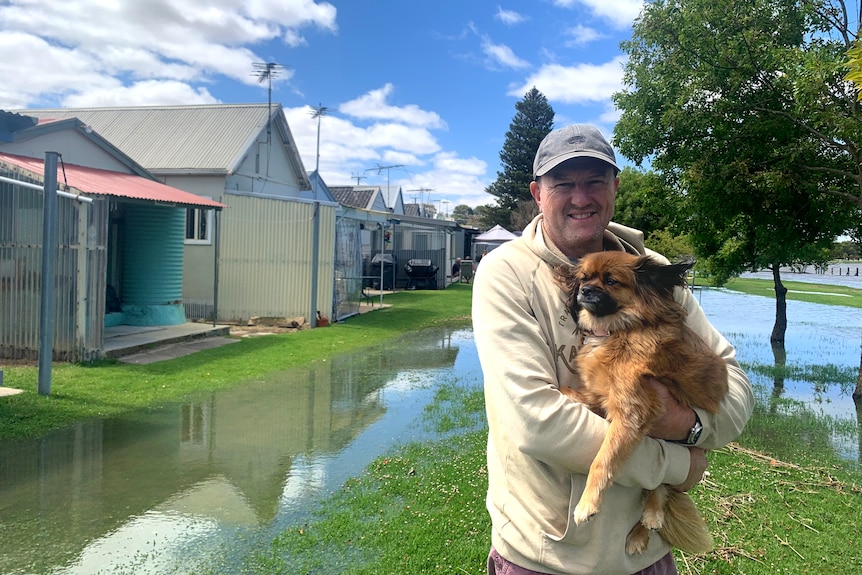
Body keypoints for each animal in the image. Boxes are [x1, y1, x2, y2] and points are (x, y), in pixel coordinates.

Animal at [552, 253, 728, 560]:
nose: (584, 290)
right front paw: (567, 394)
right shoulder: (602, 397)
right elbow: (577, 393)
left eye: (611, 281)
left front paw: (587, 503)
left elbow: (602, 461)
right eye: (584, 278)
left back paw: (650, 518)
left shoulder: (631, 414)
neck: (618, 329)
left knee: (661, 486)